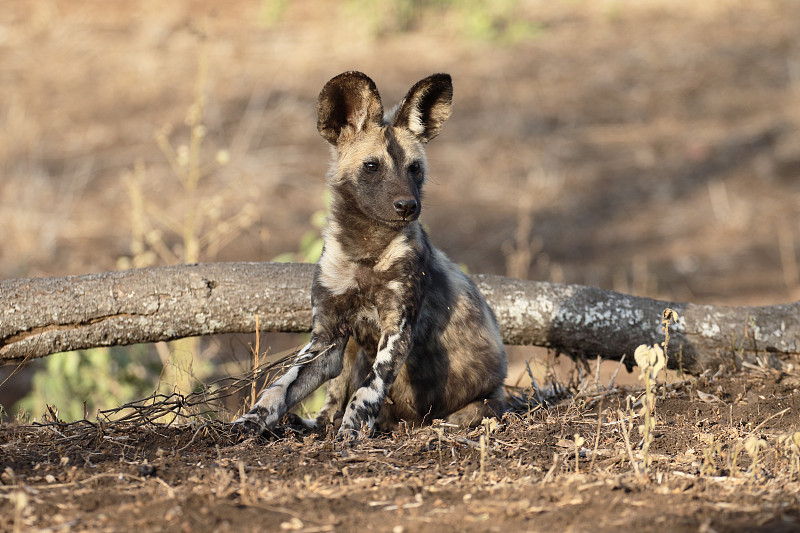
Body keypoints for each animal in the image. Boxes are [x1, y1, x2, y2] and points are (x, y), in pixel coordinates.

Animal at [234, 69, 506, 436]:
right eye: (372, 166)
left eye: (414, 168)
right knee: (330, 403)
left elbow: (368, 391)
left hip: (483, 403)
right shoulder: (327, 339)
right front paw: (248, 422)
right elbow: (279, 387)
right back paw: (313, 425)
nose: (407, 206)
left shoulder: (397, 333)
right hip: (348, 350)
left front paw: (351, 434)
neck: (365, 248)